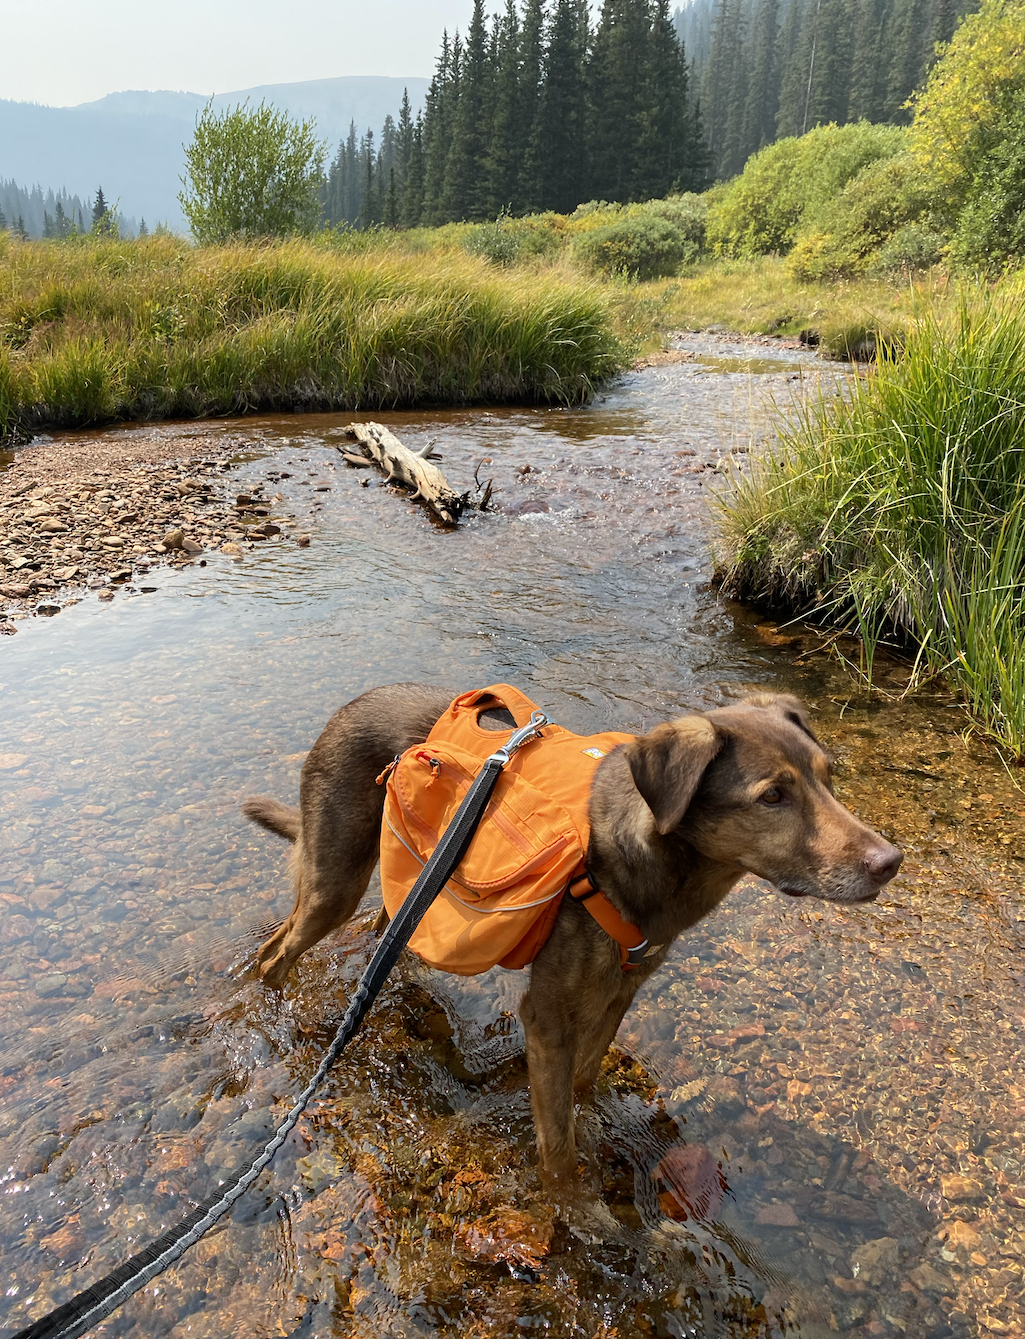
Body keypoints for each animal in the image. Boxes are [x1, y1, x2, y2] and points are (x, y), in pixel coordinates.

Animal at [243, 690, 900, 1183]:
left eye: (828, 779)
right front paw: (571, 1210)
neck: (651, 868)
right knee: (275, 954)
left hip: (411, 895)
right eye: (772, 796)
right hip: (338, 881)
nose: (890, 862)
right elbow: (557, 1146)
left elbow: (585, 1080)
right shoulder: (547, 1013)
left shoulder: (621, 991)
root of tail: (347, 706)